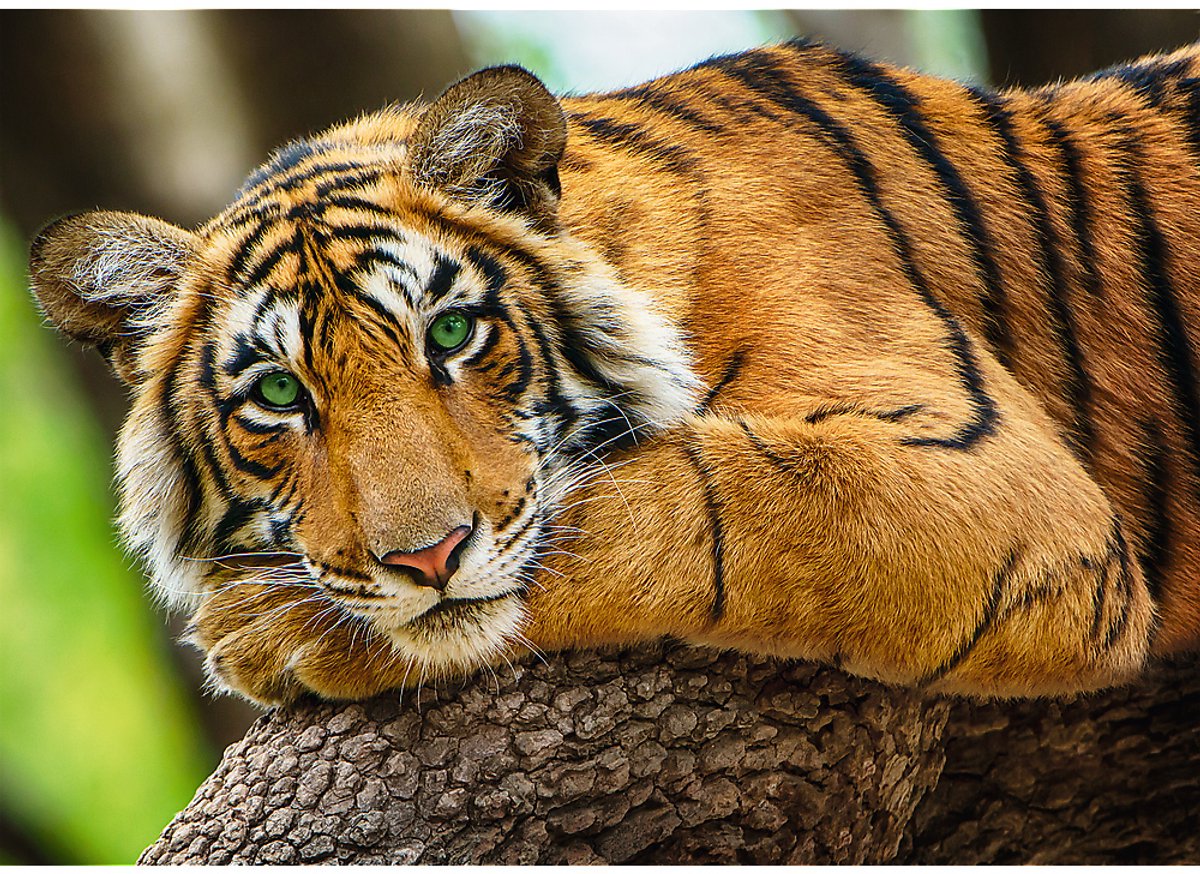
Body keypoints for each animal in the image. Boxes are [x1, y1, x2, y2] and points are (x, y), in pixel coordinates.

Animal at [29, 38, 1200, 706]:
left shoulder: (999, 483)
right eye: (278, 394)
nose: (426, 558)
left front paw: (266, 628)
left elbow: (684, 501)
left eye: (452, 333)